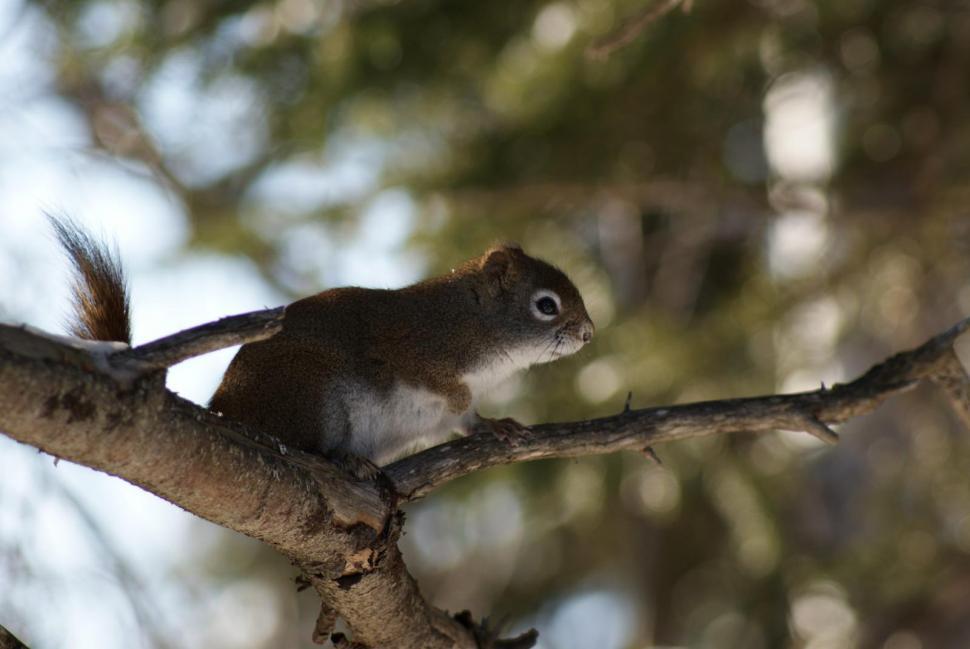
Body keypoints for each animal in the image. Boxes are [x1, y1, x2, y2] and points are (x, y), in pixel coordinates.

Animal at [51, 218, 595, 477]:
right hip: (312, 393)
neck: (474, 321)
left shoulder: (447, 418)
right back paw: (343, 459)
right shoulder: (414, 348)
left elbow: (466, 422)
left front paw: (497, 425)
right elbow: (443, 388)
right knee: (303, 443)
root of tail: (226, 407)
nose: (589, 332)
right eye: (546, 305)